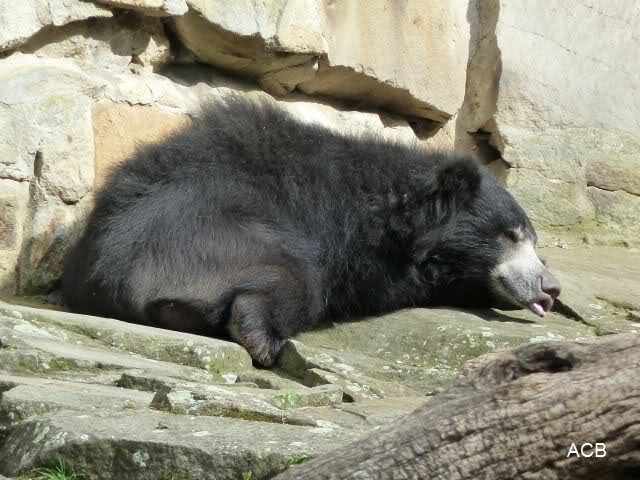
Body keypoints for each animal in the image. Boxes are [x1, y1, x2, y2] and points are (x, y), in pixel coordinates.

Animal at [62, 96, 561, 366]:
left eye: (534, 240)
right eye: (509, 235)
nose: (551, 287)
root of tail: (115, 277)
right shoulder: (354, 244)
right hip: (227, 246)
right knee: (294, 281)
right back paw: (263, 339)